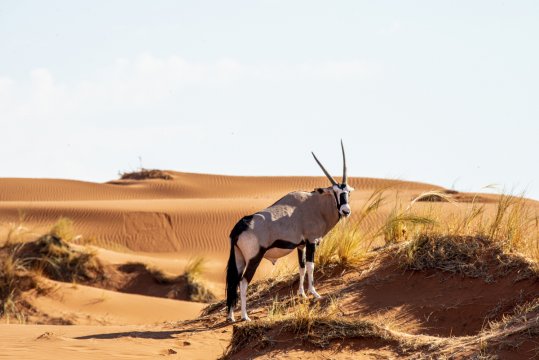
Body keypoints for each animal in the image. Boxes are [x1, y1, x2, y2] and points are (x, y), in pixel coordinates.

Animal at [225, 141, 354, 320]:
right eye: (335, 192)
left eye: (347, 192)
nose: (346, 211)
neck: (315, 205)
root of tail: (241, 225)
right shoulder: (311, 242)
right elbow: (310, 266)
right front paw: (315, 293)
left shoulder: (301, 245)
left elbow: (301, 268)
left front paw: (302, 294)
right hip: (254, 258)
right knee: (243, 282)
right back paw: (245, 316)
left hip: (239, 258)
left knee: (233, 281)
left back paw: (231, 316)